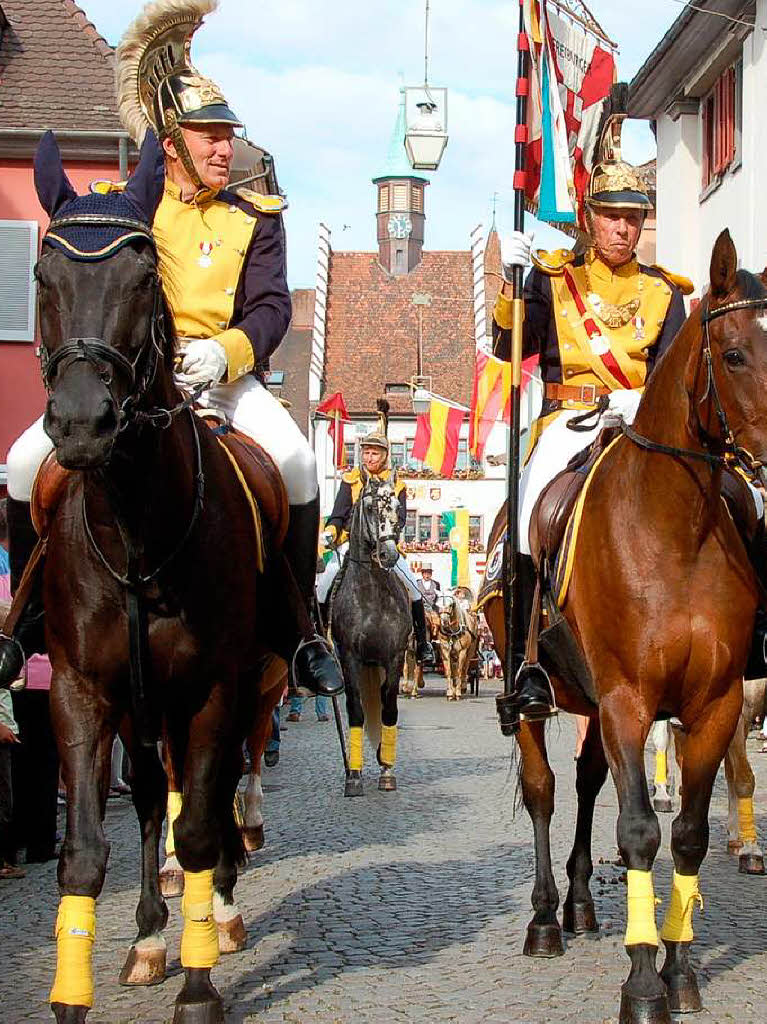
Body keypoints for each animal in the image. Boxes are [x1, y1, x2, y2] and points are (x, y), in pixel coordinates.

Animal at [29, 132, 296, 1019]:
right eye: (42, 275)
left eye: (144, 275)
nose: (82, 422)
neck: (137, 536)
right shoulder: (80, 691)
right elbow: (85, 848)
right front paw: (77, 991)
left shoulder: (212, 688)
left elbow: (204, 825)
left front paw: (202, 983)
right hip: (141, 711)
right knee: (152, 796)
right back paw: (150, 937)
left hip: (245, 685)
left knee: (216, 796)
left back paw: (220, 909)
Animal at [329, 475, 413, 794]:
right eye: (369, 508)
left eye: (397, 508)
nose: (388, 554)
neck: (372, 594)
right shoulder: (349, 658)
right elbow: (356, 711)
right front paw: (353, 775)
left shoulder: (395, 658)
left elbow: (389, 710)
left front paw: (387, 770)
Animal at [485, 232, 765, 1024]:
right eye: (735, 352)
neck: (676, 532)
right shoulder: (627, 701)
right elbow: (639, 830)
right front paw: (642, 983)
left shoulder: (714, 706)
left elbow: (689, 836)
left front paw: (679, 970)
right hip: (536, 692)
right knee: (545, 790)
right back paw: (545, 918)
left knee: (583, 786)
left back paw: (580, 902)